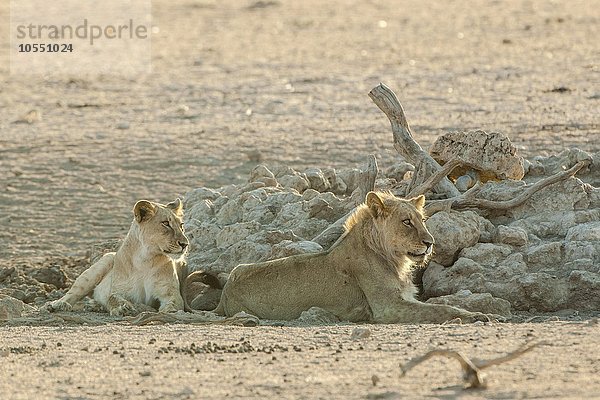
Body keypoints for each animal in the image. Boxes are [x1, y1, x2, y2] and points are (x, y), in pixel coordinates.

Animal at [44, 198, 190, 318]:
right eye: (166, 223)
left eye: (181, 226)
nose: (185, 244)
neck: (145, 259)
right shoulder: (118, 290)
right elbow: (112, 298)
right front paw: (123, 309)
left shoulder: (170, 293)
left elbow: (173, 303)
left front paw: (168, 311)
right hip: (102, 263)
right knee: (73, 293)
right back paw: (56, 305)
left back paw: (94, 306)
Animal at [213, 191, 494, 324]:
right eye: (406, 222)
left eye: (422, 220)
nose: (430, 243)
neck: (394, 260)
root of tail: (225, 291)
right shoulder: (387, 308)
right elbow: (439, 309)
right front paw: (476, 316)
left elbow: (439, 304)